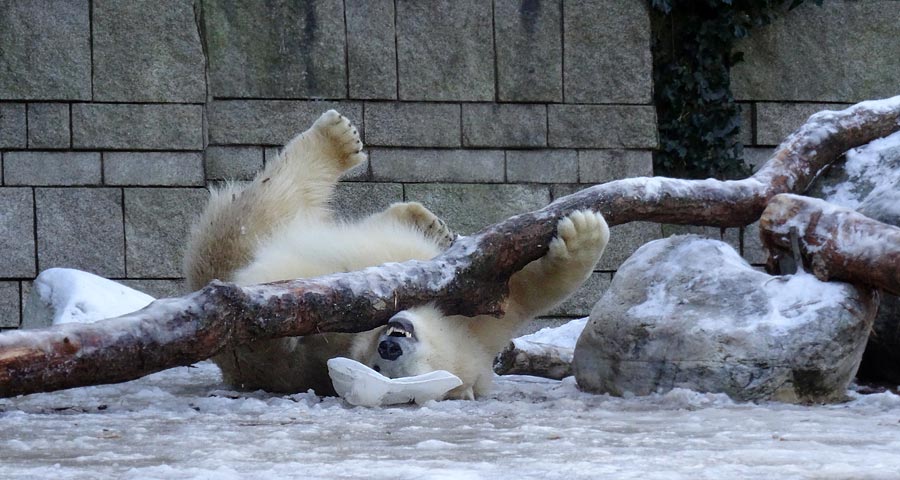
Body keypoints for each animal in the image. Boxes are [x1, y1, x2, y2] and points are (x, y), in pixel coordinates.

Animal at [186, 110, 612, 400]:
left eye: (387, 370)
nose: (391, 345)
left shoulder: (476, 331)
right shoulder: (476, 320)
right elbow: (519, 289)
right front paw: (586, 230)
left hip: (233, 244)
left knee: (273, 200)